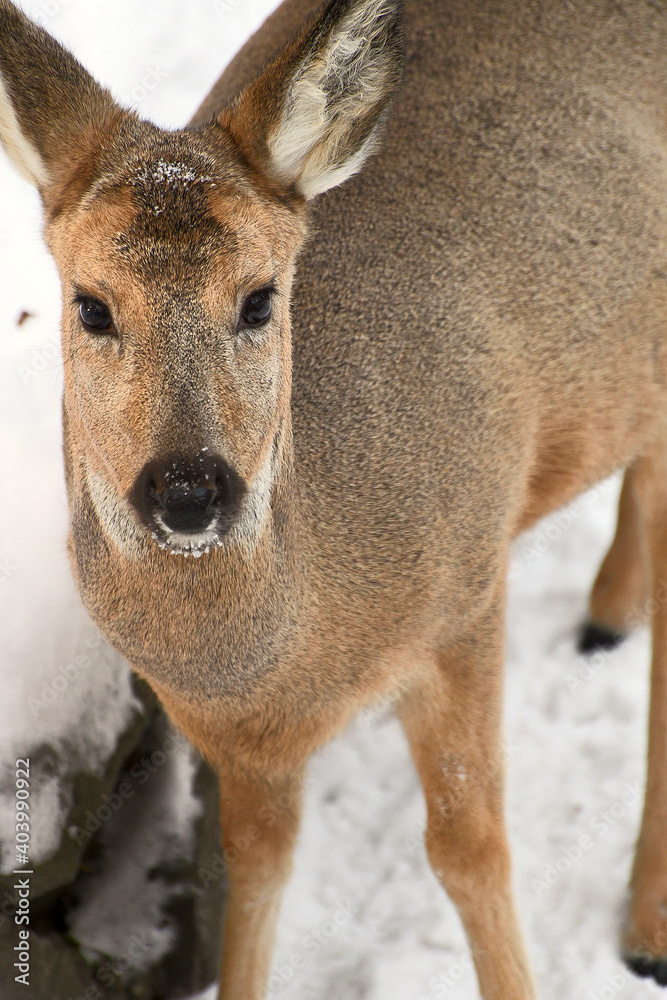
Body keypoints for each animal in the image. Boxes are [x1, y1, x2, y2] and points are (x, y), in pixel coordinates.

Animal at [1, 0, 666, 996]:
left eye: (259, 298)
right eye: (90, 305)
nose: (189, 489)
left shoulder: (466, 592)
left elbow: (470, 851)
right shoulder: (234, 738)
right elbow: (254, 872)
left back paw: (645, 931)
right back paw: (605, 615)